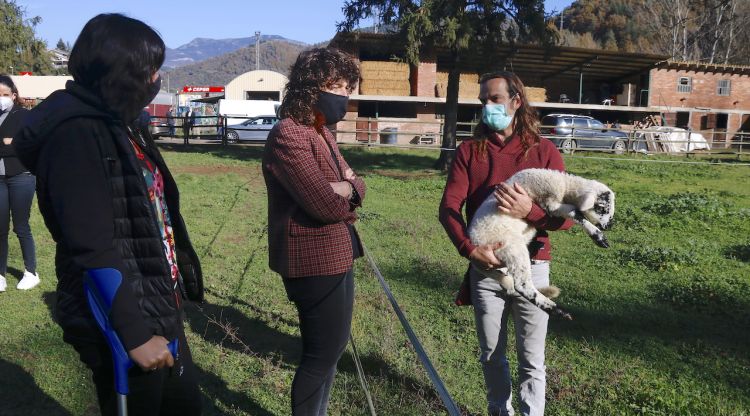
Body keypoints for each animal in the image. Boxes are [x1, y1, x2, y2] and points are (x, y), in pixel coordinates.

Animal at [470, 167, 616, 320]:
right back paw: (558, 310)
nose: (610, 226)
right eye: (603, 208)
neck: (565, 186)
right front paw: (599, 237)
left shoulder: (552, 206)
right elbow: (575, 212)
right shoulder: (549, 202)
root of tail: (475, 245)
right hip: (511, 246)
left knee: (509, 281)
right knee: (522, 285)